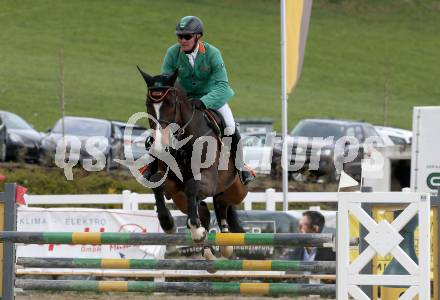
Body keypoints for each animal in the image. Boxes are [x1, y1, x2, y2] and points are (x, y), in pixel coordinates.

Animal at [138, 67, 248, 258]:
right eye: (147, 104)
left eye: (170, 103)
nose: (159, 146)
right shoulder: (172, 184)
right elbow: (157, 183)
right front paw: (168, 224)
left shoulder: (208, 179)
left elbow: (192, 186)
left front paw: (196, 231)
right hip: (181, 199)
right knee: (205, 209)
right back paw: (209, 249)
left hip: (236, 190)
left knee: (222, 203)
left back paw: (225, 245)